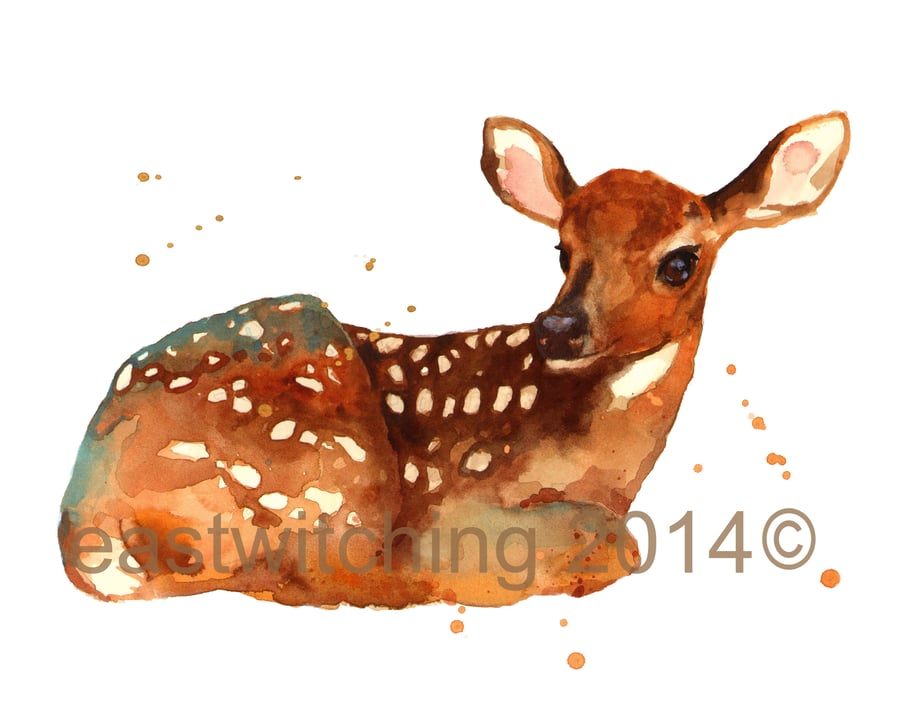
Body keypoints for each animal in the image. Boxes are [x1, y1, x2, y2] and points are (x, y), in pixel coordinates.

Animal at [59, 112, 850, 608]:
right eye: (561, 248)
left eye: (681, 261)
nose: (556, 328)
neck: (602, 463)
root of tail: (82, 511)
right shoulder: (458, 497)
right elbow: (614, 541)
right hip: (329, 460)